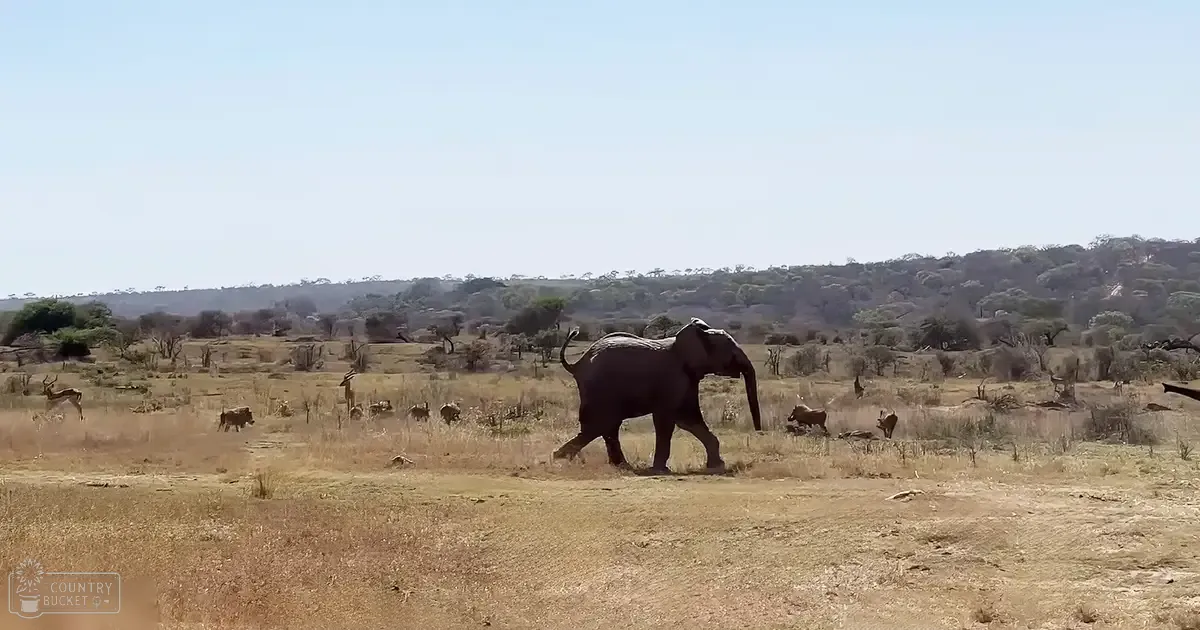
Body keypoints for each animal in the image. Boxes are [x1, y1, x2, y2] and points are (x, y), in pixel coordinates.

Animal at [553, 317, 762, 473]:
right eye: (731, 351)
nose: (759, 432)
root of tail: (577, 364)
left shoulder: (688, 378)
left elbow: (688, 419)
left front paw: (717, 466)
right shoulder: (673, 378)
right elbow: (668, 420)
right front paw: (661, 470)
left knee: (606, 426)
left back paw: (619, 466)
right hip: (600, 389)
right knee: (600, 425)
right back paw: (559, 459)